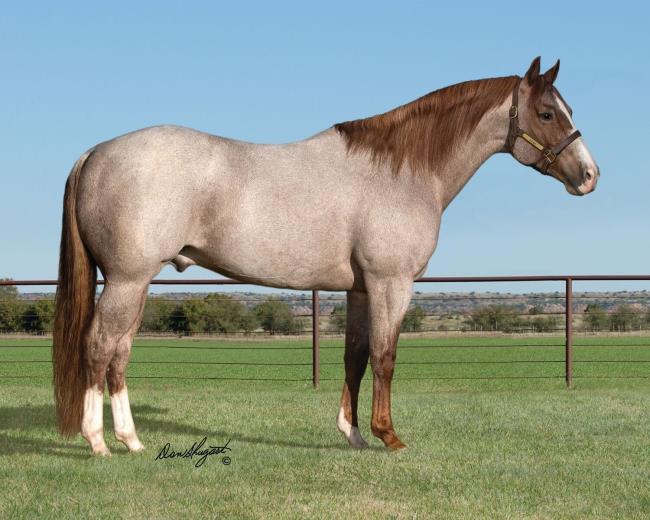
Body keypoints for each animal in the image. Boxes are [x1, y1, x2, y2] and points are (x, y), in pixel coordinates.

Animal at [53, 56, 599, 455]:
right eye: (547, 113)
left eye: (568, 109)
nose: (589, 176)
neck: (400, 172)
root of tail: (95, 152)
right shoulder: (390, 283)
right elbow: (385, 356)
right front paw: (389, 436)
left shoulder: (359, 289)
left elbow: (355, 356)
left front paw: (352, 434)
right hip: (126, 280)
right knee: (99, 347)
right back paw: (98, 443)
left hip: (136, 283)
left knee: (120, 353)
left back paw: (132, 440)